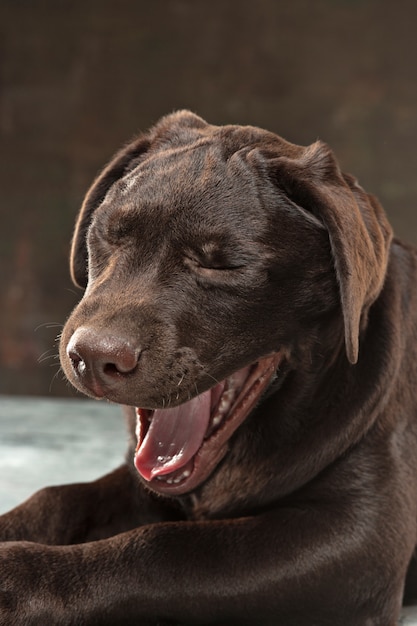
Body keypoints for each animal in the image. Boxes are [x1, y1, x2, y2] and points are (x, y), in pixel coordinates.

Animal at [0, 109, 416, 620]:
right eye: (107, 235)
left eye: (223, 266)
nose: (93, 357)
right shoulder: (138, 484)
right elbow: (60, 497)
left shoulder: (359, 540)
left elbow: (162, 548)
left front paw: (16, 579)